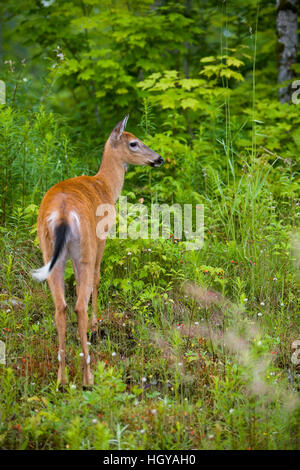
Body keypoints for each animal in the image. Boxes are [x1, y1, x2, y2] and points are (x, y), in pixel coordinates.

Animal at [31, 115, 163, 388]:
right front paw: (96, 323)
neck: (105, 185)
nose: (158, 158)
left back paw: (61, 379)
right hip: (86, 246)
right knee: (79, 304)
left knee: (60, 306)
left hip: (49, 252)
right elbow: (97, 278)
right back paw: (87, 376)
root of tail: (62, 214)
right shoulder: (103, 235)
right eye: (134, 143)